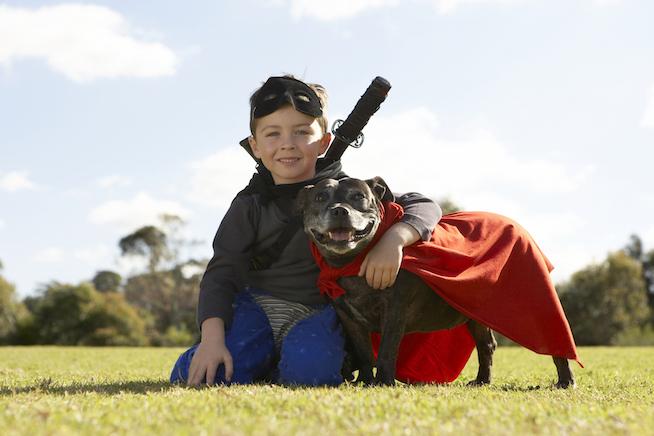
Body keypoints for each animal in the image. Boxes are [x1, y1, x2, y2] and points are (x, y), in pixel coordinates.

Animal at [300, 175, 576, 386]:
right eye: (321, 197)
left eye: (358, 196)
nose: (339, 210)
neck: (352, 261)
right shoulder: (348, 317)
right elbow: (365, 352)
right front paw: (366, 380)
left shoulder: (394, 311)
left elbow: (387, 349)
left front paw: (383, 382)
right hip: (475, 314)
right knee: (486, 345)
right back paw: (482, 380)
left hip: (531, 304)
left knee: (554, 340)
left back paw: (565, 380)